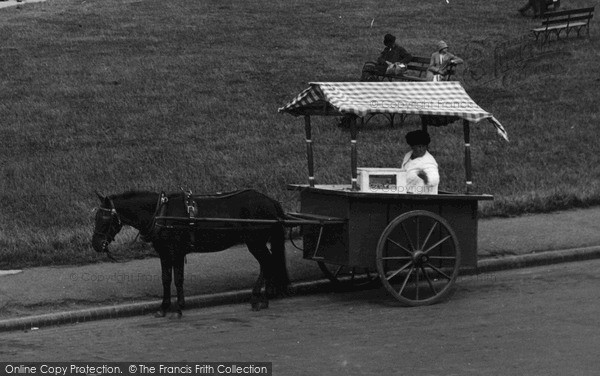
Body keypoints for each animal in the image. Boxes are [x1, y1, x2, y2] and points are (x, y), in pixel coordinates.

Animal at [90, 189, 292, 316]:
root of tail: (271, 201)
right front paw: (165, 307)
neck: (161, 213)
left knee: (268, 263)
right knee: (267, 264)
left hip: (255, 242)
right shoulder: (165, 252)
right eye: (96, 217)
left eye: (105, 218)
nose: (96, 244)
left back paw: (260, 298)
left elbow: (178, 279)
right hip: (257, 242)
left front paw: (178, 308)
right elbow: (166, 278)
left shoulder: (177, 251)